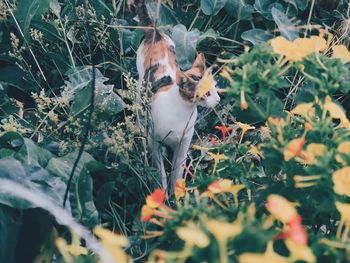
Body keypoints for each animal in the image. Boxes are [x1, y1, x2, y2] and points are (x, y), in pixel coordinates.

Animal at [135, 0, 220, 194]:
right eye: (206, 93)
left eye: (215, 87)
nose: (219, 99)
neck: (183, 111)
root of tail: (155, 33)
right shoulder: (155, 141)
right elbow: (161, 172)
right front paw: (163, 194)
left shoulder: (183, 144)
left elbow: (177, 173)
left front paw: (176, 195)